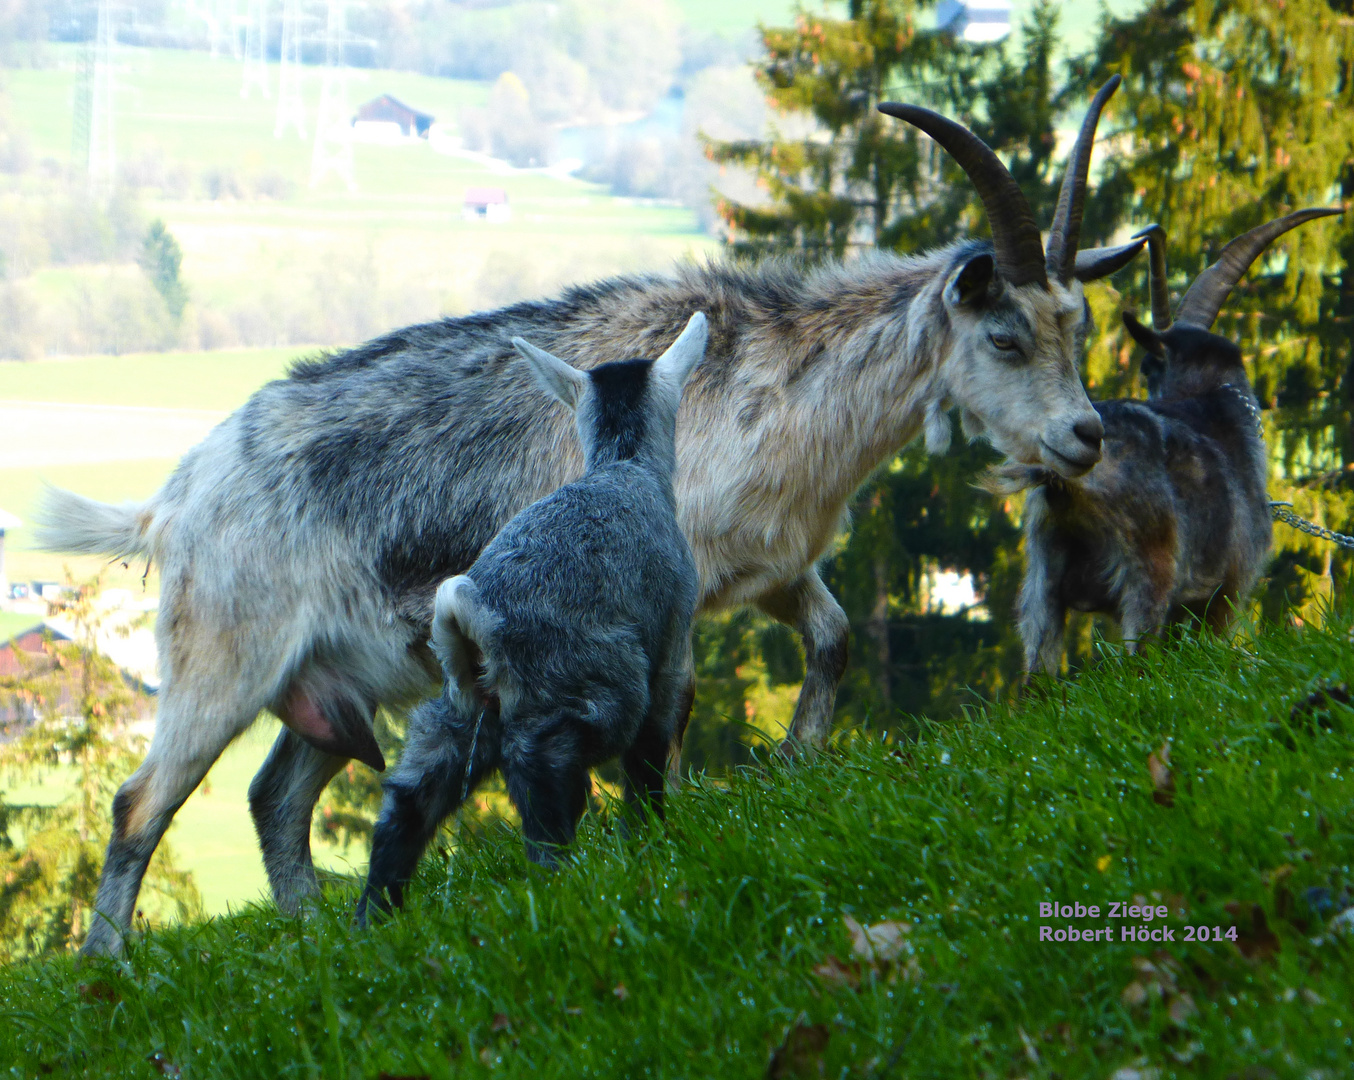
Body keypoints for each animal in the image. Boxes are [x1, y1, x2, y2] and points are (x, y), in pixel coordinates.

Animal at [42, 80, 1137, 958]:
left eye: (1076, 325)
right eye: (1004, 336)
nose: (1083, 436)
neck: (773, 381)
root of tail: (174, 500)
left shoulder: (773, 568)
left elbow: (828, 642)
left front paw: (794, 761)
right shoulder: (676, 591)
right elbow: (677, 710)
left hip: (331, 677)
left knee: (275, 796)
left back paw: (312, 928)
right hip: (223, 656)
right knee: (141, 803)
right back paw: (109, 964)